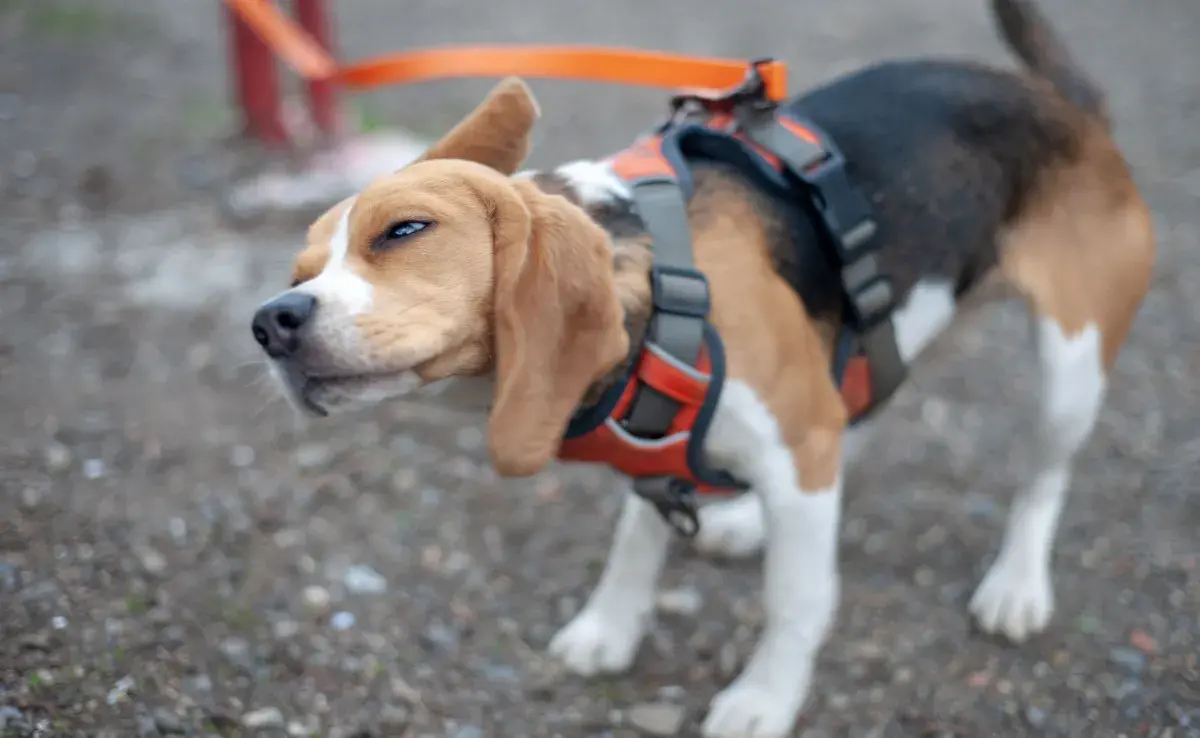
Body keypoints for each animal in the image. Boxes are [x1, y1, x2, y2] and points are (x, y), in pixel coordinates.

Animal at [250, 2, 1152, 734]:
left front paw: (764, 698)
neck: (658, 280)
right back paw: (753, 520)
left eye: (405, 230)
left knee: (1040, 478)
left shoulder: (787, 435)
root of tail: (1068, 107)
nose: (269, 322)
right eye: (300, 271)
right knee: (851, 422)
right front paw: (610, 627)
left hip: (1070, 367)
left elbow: (796, 597)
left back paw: (1016, 585)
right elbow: (637, 536)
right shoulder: (667, 441)